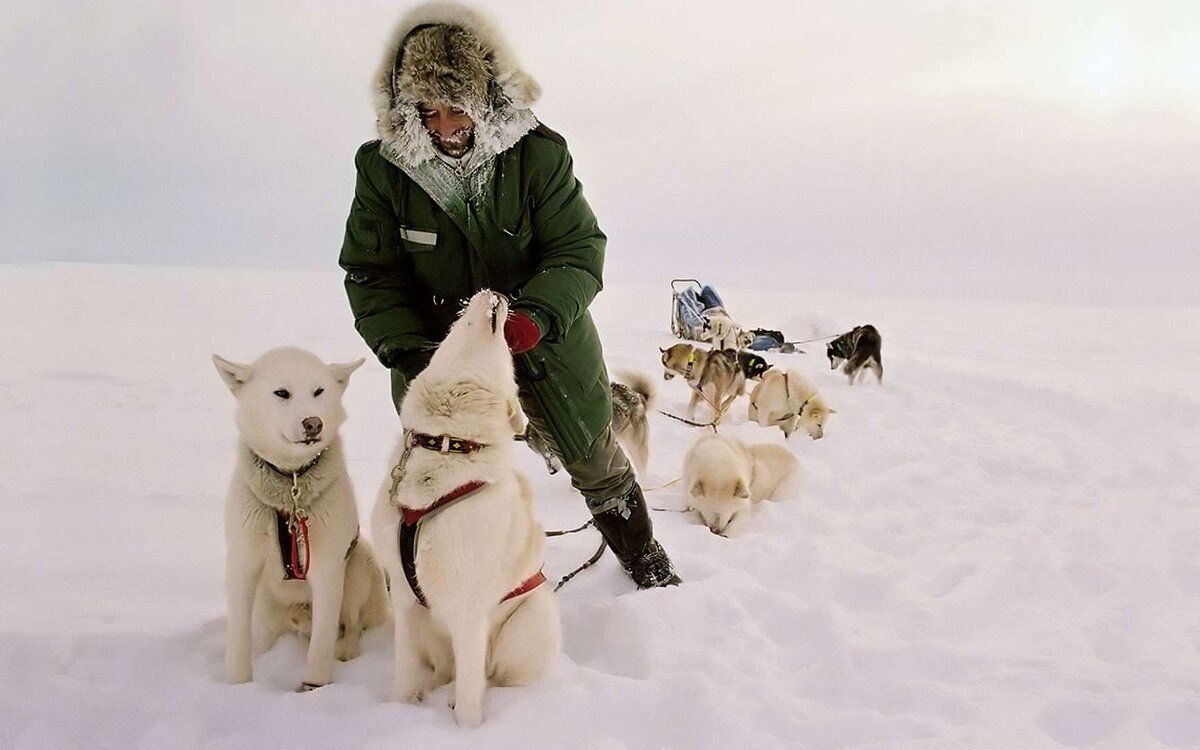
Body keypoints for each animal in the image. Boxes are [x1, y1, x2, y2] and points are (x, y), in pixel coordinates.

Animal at [213, 345, 386, 691]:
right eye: (282, 393)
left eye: (319, 391)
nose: (313, 423)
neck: (290, 484)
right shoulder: (242, 562)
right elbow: (238, 636)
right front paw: (238, 686)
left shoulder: (328, 567)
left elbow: (321, 642)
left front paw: (314, 686)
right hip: (266, 602)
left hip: (357, 565)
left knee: (352, 624)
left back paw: (347, 650)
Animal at [369, 289, 561, 729]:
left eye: (508, 349)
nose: (497, 293)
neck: (446, 443)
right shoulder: (404, 599)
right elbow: (403, 675)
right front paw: (398, 710)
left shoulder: (470, 610)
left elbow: (472, 693)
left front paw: (467, 730)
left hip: (529, 623)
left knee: (490, 676)